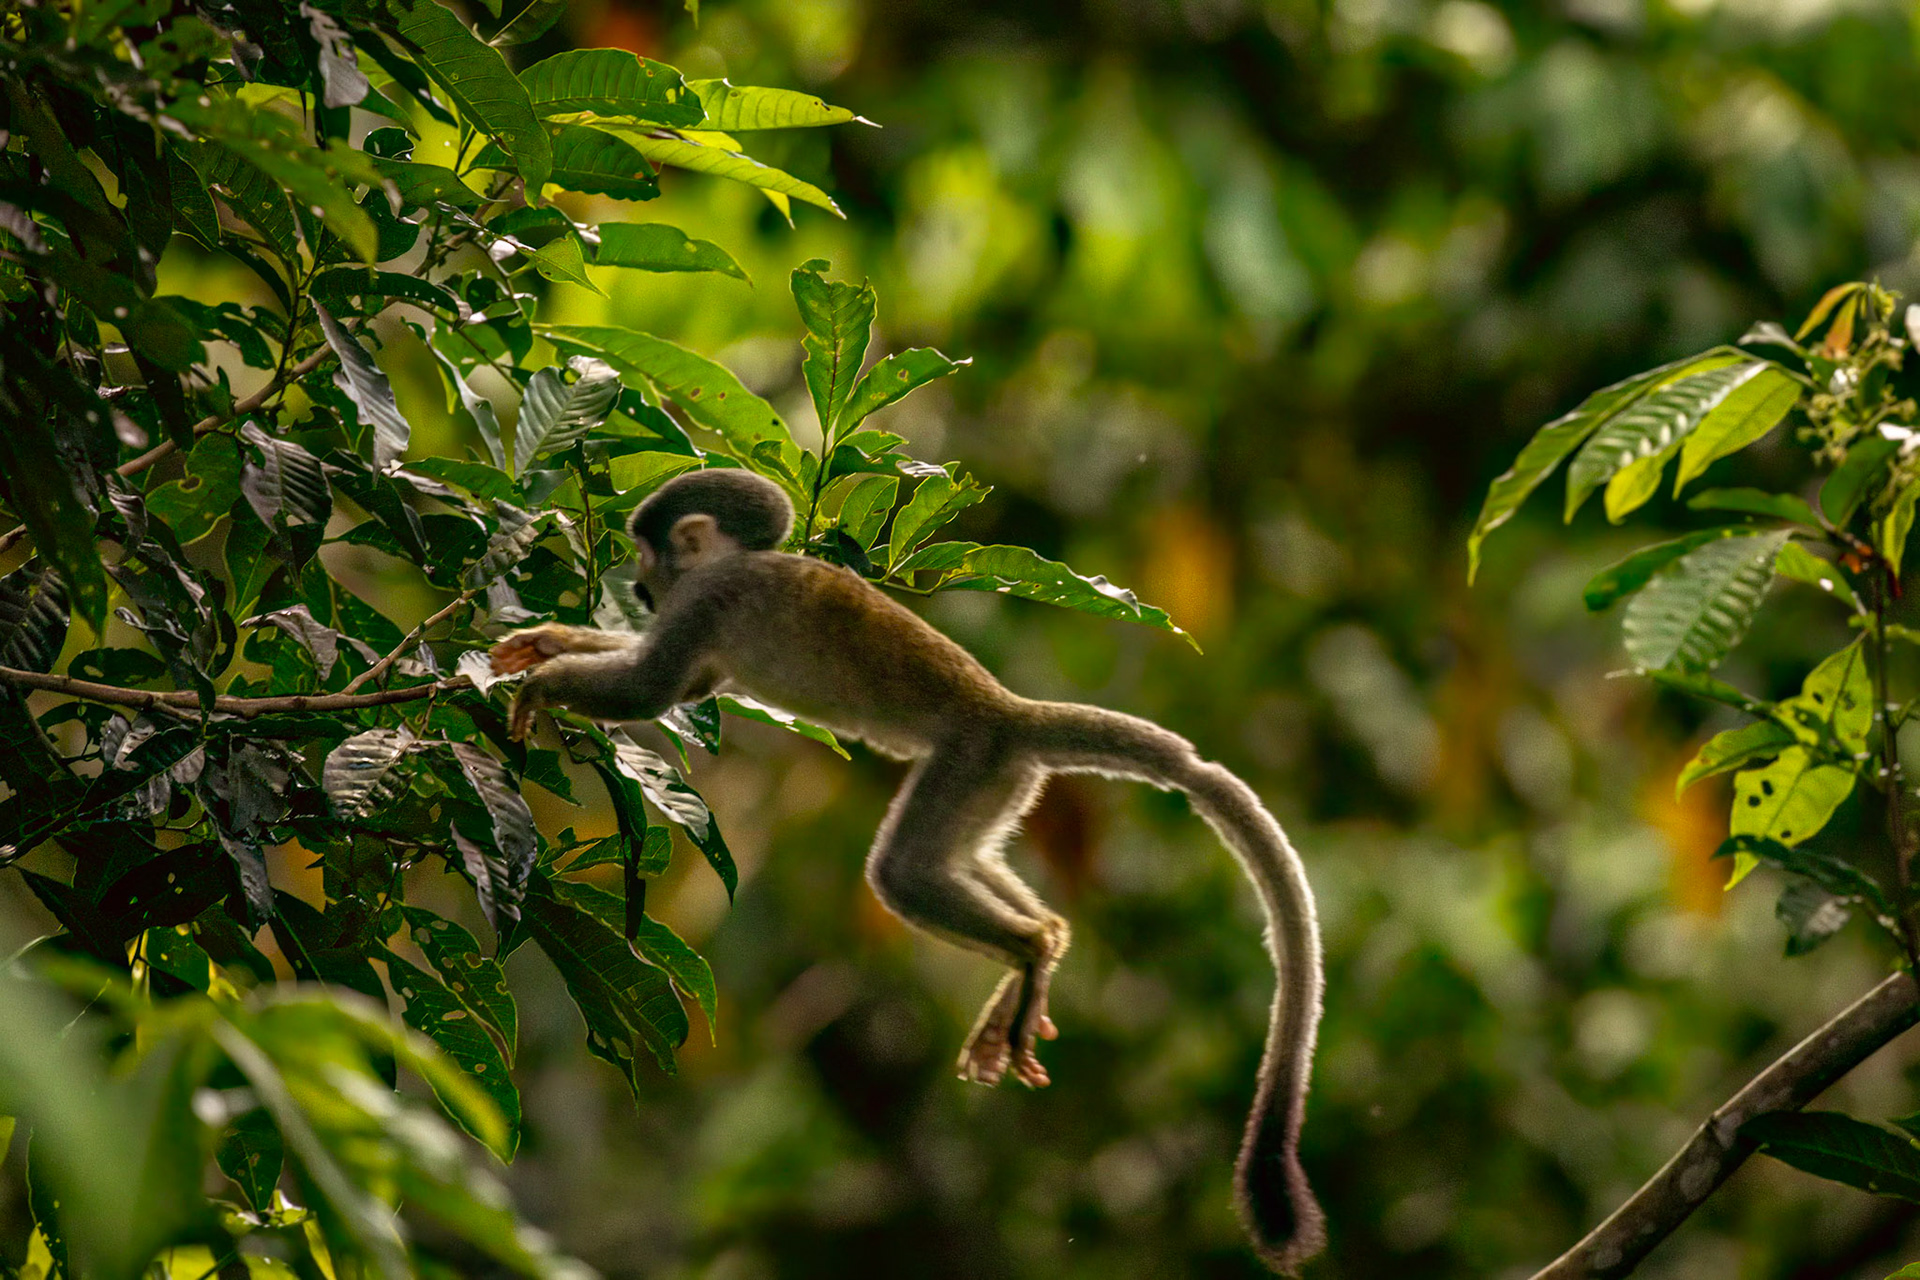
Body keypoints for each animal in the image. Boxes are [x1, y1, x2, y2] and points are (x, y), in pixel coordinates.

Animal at [490, 468, 1326, 1273]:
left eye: (645, 555)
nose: (637, 590)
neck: (738, 560)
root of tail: (1010, 713)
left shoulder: (706, 602)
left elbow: (656, 690)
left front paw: (546, 679)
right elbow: (689, 688)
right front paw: (550, 641)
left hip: (970, 760)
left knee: (904, 871)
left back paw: (1028, 949)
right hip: (1004, 783)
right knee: (959, 860)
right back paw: (1044, 943)